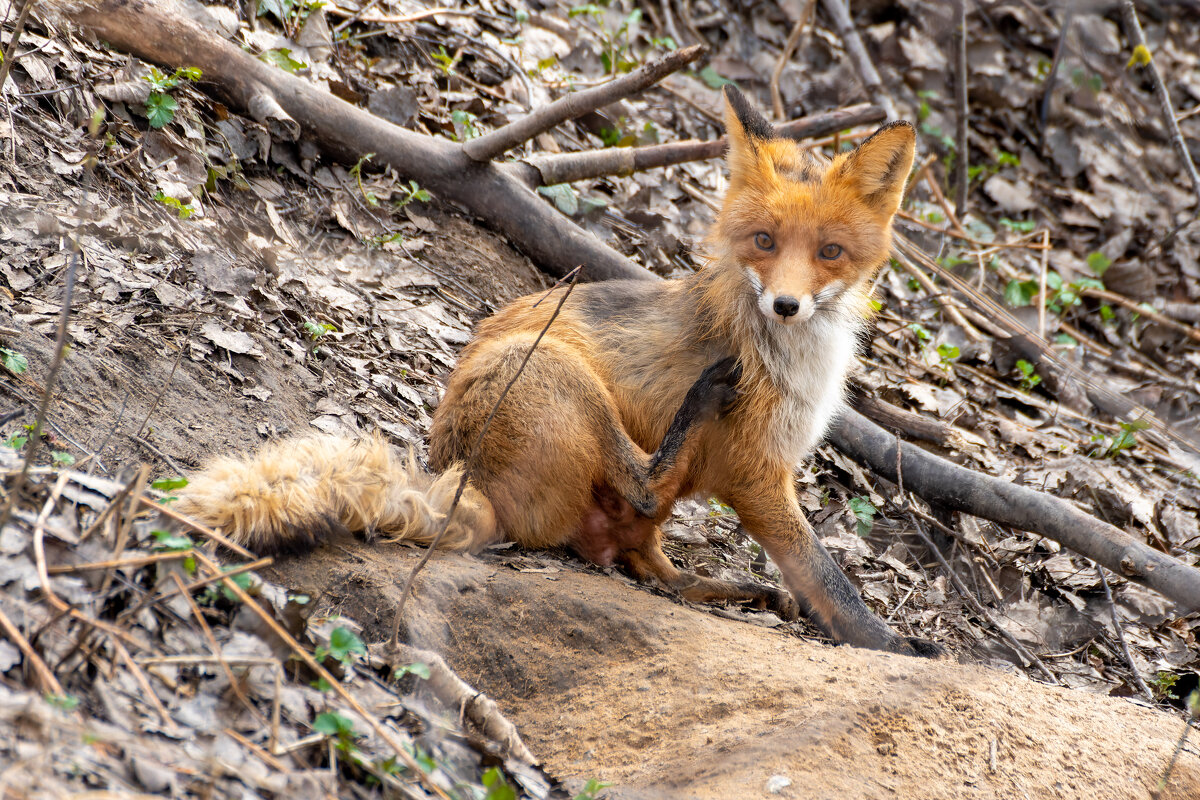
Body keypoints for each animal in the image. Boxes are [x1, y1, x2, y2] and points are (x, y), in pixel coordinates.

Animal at [180, 87, 945, 662]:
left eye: (829, 252)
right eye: (763, 242)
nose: (785, 304)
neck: (797, 362)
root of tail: (465, 478)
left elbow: (815, 581)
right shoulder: (757, 474)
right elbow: (829, 578)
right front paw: (893, 645)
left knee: (660, 569)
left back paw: (732, 589)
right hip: (553, 367)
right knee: (645, 486)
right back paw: (698, 410)